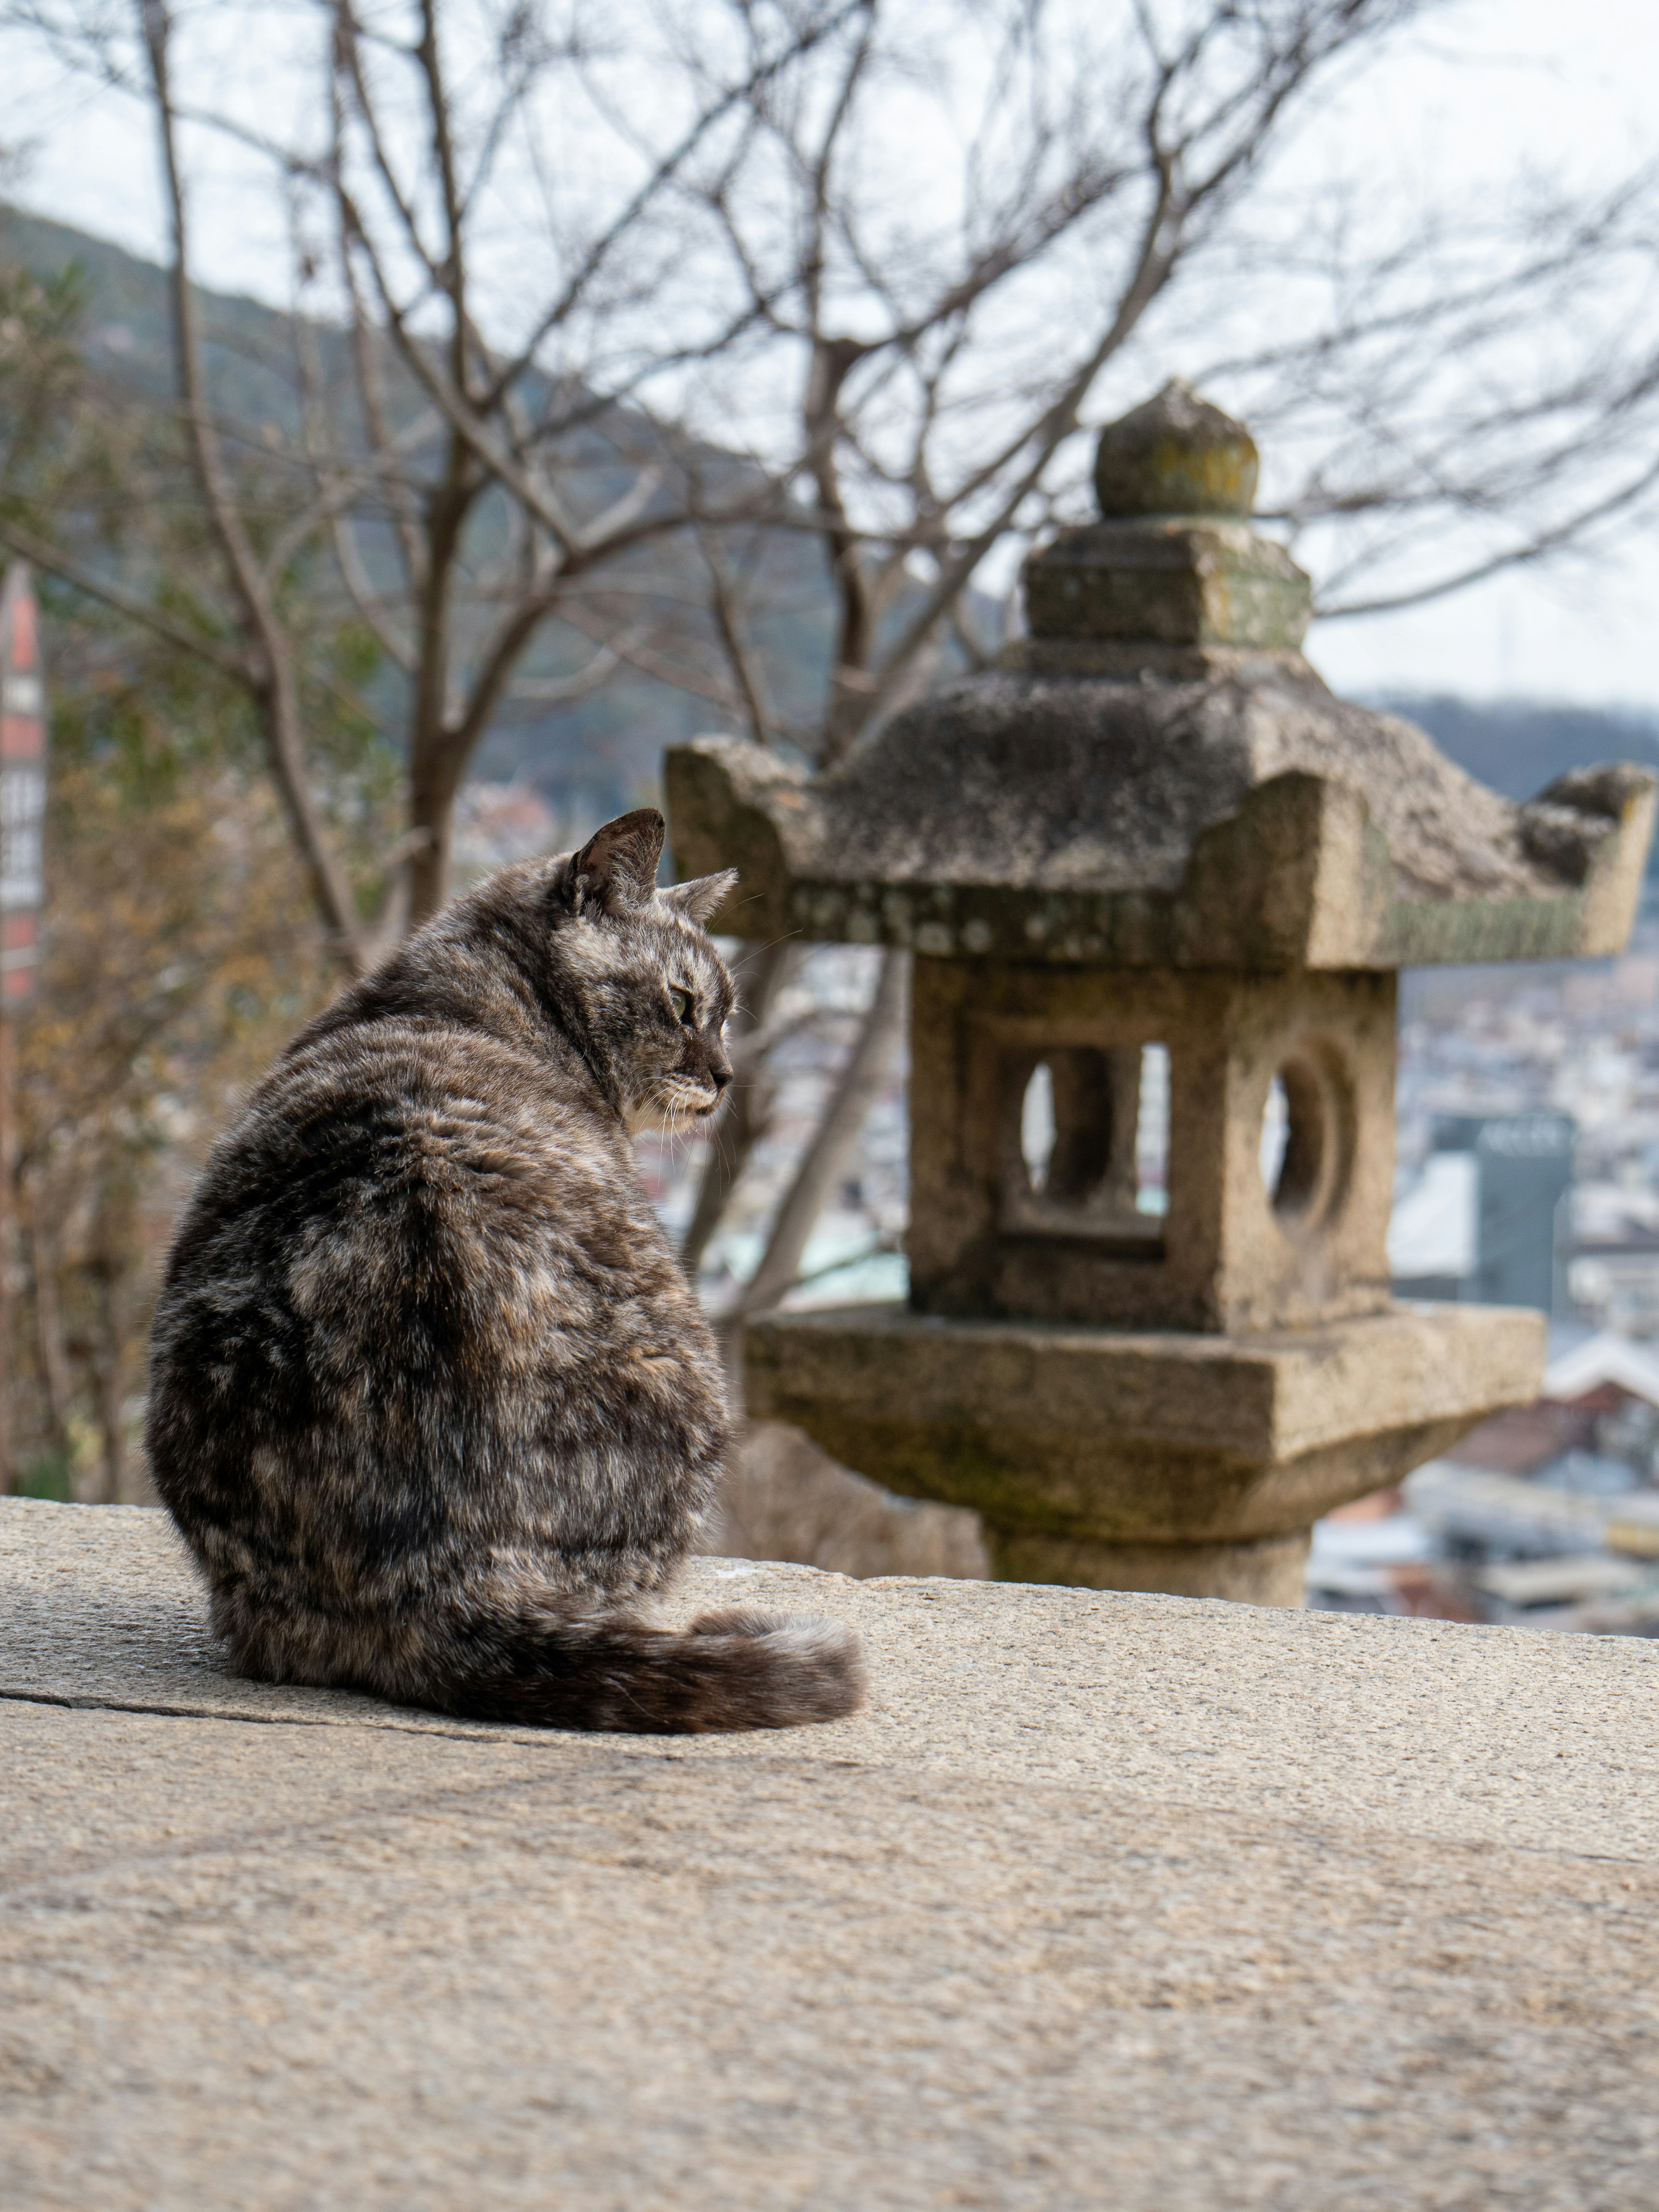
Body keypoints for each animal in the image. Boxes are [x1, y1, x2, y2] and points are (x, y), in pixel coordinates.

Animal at [145, 805, 871, 1734]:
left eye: (726, 1014)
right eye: (685, 1004)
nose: (725, 1075)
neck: (473, 993)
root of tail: (443, 1574)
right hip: (693, 1386)